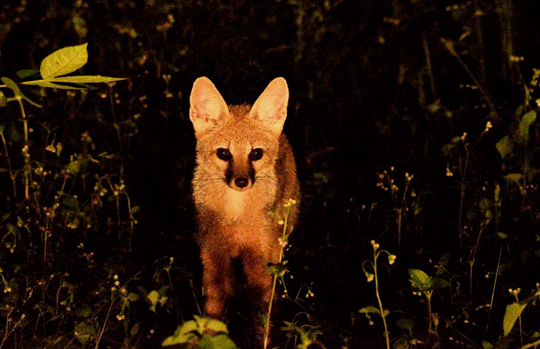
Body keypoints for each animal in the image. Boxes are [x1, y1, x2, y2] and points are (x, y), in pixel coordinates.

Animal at [189, 76, 300, 332]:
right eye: (223, 153)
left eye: (256, 154)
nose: (241, 181)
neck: (236, 215)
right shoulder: (213, 258)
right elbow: (213, 313)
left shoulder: (259, 262)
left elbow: (263, 315)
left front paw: (266, 337)